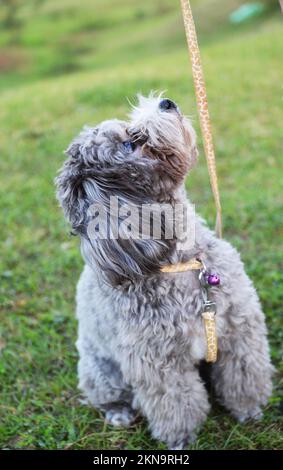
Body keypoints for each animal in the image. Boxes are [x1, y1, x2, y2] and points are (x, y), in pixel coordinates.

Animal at [54, 93, 274, 450]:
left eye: (128, 129)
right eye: (130, 143)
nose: (166, 103)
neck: (180, 262)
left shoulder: (240, 332)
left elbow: (244, 376)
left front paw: (249, 410)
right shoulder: (158, 364)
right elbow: (177, 404)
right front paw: (181, 439)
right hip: (100, 370)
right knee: (109, 396)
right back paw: (119, 413)